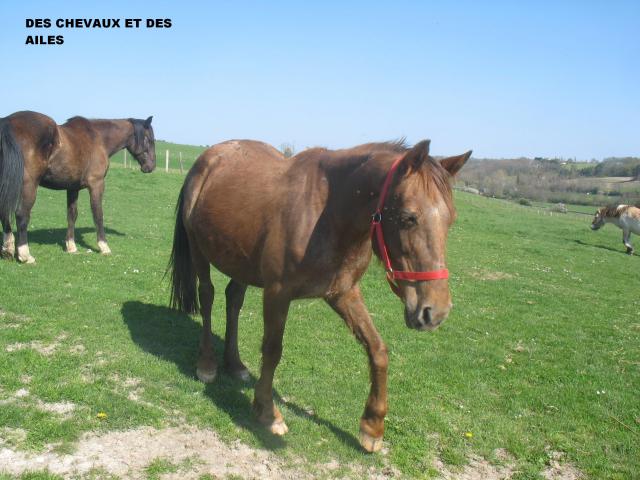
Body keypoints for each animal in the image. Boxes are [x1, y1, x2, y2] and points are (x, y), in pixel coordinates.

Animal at [0, 109, 155, 262]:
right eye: (149, 139)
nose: (151, 166)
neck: (99, 138)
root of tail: (7, 122)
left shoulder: (72, 187)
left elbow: (72, 214)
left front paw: (71, 246)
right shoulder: (97, 184)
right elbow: (98, 214)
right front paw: (104, 246)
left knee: (5, 212)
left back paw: (7, 249)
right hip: (29, 185)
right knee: (22, 214)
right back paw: (25, 255)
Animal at [168, 138, 472, 450]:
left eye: (451, 220)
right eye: (408, 218)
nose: (435, 312)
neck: (327, 213)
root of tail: (209, 157)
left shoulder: (343, 293)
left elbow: (377, 349)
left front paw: (372, 426)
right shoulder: (277, 294)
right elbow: (272, 351)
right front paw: (268, 412)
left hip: (240, 262)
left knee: (233, 300)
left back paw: (235, 364)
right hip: (199, 250)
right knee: (207, 296)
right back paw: (207, 364)